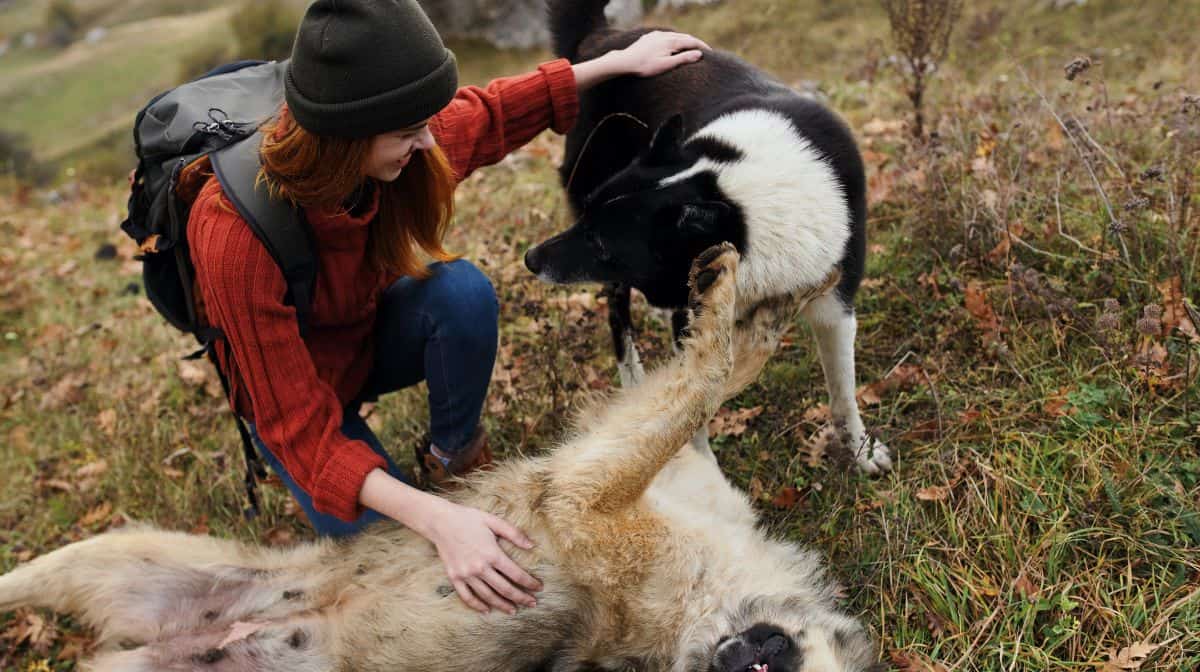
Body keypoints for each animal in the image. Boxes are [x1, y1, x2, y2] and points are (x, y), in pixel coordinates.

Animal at [0, 246, 883, 672]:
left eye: (765, 671)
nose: (734, 653)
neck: (719, 596)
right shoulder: (646, 467)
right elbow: (712, 375)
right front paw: (760, 298)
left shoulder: (590, 495)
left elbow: (698, 381)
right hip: (112, 554)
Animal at [528, 0, 892, 472]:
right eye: (588, 218)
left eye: (600, 242)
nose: (530, 259)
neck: (740, 191)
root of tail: (601, 36)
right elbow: (692, 408)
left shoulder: (835, 304)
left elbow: (843, 390)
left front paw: (861, 451)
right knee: (617, 312)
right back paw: (633, 377)